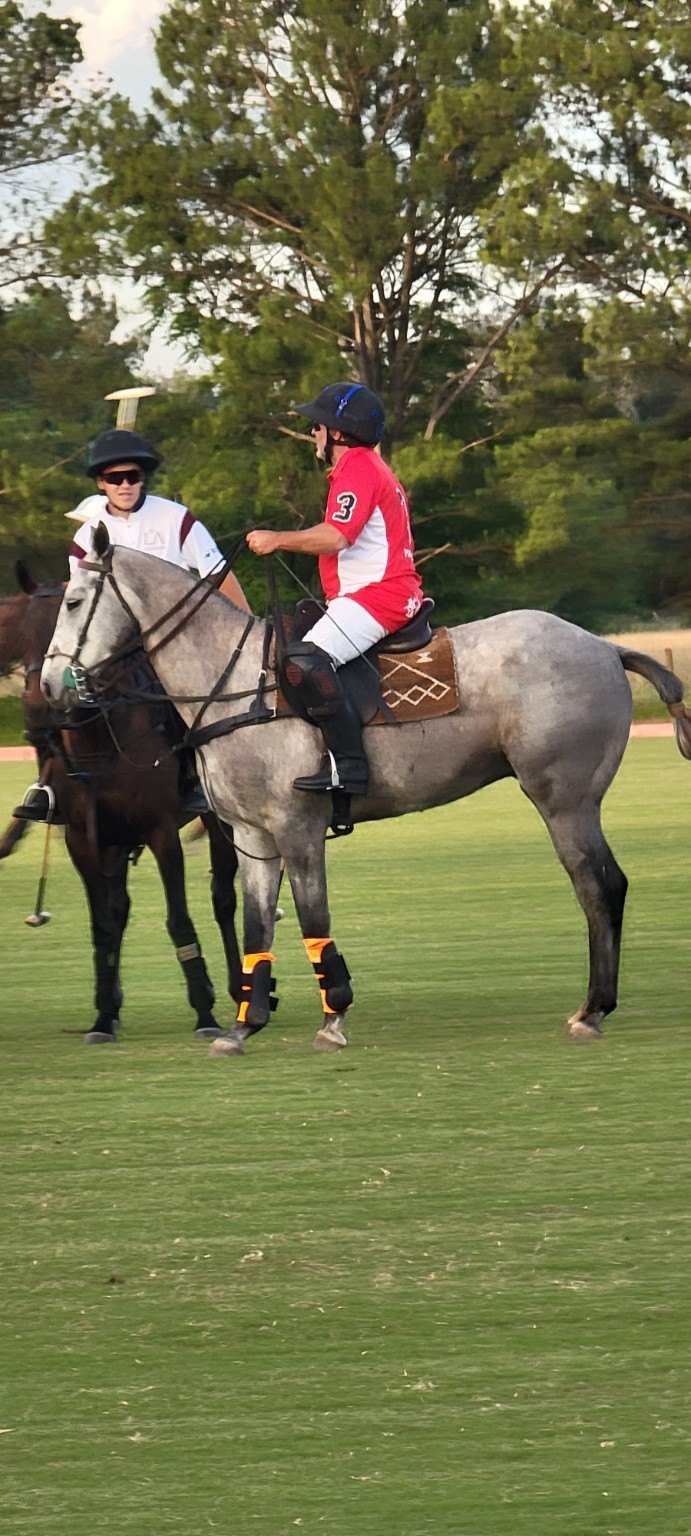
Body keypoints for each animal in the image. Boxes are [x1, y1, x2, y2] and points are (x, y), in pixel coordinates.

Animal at [1, 562, 242, 1042]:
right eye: (23, 632)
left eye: (69, 617)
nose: (40, 708)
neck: (100, 737)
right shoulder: (82, 837)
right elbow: (104, 924)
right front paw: (103, 1015)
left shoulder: (161, 830)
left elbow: (178, 918)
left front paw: (205, 1012)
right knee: (121, 907)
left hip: (218, 823)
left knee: (223, 898)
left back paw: (242, 988)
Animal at [41, 528, 691, 1053]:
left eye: (73, 602)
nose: (49, 686)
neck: (233, 686)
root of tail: (606, 646)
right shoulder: (252, 836)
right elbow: (256, 927)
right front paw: (243, 1026)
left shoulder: (298, 826)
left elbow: (311, 917)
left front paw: (333, 1019)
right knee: (601, 884)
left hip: (564, 798)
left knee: (599, 885)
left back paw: (592, 1011)